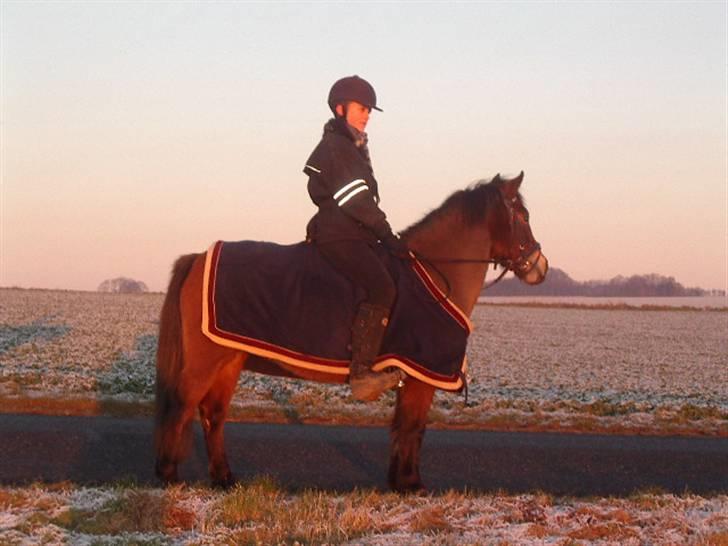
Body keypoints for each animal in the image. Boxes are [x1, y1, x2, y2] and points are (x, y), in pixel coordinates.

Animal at [156, 171, 548, 488]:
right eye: (523, 216)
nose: (540, 267)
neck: (436, 273)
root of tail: (199, 257)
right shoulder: (420, 375)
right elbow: (414, 426)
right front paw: (411, 484)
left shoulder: (411, 375)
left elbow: (404, 426)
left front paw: (399, 481)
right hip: (205, 362)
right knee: (181, 407)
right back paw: (169, 476)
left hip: (229, 361)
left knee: (213, 415)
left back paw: (224, 479)